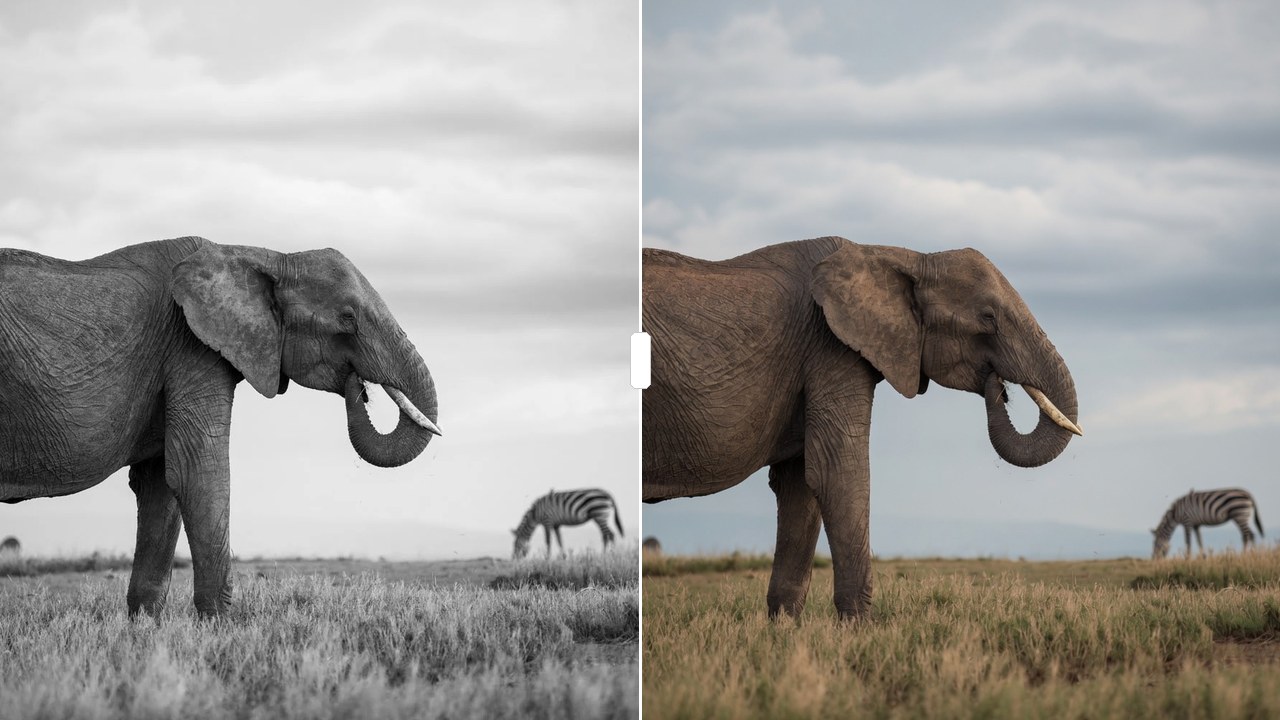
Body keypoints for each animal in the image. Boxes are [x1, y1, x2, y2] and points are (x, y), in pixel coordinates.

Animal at [0, 236, 441, 617]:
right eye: (347, 319)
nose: (358, 386)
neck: (264, 256)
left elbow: (160, 483)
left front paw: (146, 635)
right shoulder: (191, 347)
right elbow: (198, 475)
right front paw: (220, 630)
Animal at [642, 237, 1081, 620]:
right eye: (988, 318)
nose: (998, 386)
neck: (903, 256)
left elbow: (800, 484)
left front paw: (783, 633)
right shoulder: (831, 348)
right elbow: (838, 475)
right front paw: (859, 632)